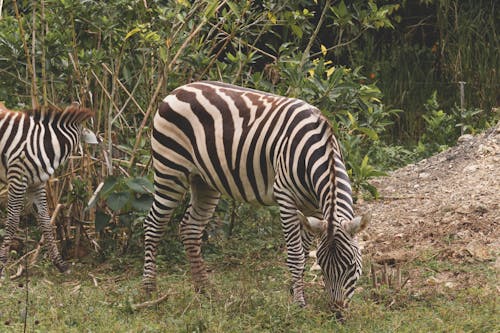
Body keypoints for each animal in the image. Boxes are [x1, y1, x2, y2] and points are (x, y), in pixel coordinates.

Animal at [0, 103, 96, 274]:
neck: (45, 144)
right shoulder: (17, 177)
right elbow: (12, 221)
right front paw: (2, 263)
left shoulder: (37, 183)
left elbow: (45, 220)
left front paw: (60, 263)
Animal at [143, 80, 370, 312]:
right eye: (323, 266)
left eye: (352, 265)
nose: (337, 311)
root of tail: (176, 91)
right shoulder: (285, 196)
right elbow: (296, 254)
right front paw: (299, 302)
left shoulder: (313, 208)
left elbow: (305, 251)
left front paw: (294, 290)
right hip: (170, 170)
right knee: (153, 224)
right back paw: (150, 290)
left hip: (204, 181)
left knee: (190, 229)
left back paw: (205, 290)